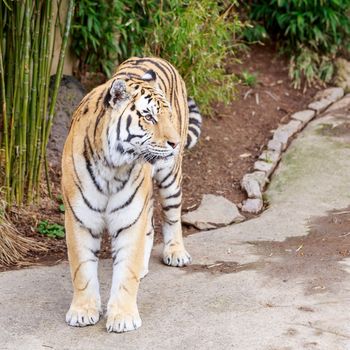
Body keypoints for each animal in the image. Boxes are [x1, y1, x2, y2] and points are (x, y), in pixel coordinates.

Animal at [61, 57, 201, 334]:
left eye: (167, 115)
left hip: (170, 178)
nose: (175, 144)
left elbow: (125, 273)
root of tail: (154, 57)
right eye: (148, 116)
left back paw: (176, 253)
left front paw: (123, 317)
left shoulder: (128, 218)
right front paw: (83, 312)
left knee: (172, 216)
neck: (111, 167)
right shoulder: (80, 219)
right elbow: (82, 269)